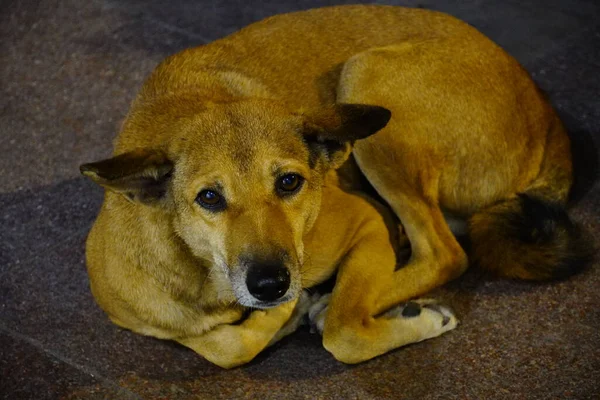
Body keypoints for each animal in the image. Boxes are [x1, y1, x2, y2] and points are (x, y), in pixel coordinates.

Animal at [78, 4, 584, 368]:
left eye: (289, 182)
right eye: (209, 197)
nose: (270, 285)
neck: (204, 275)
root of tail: (543, 107)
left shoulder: (365, 221)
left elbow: (344, 333)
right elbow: (221, 349)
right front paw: (278, 318)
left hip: (368, 79)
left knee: (444, 253)